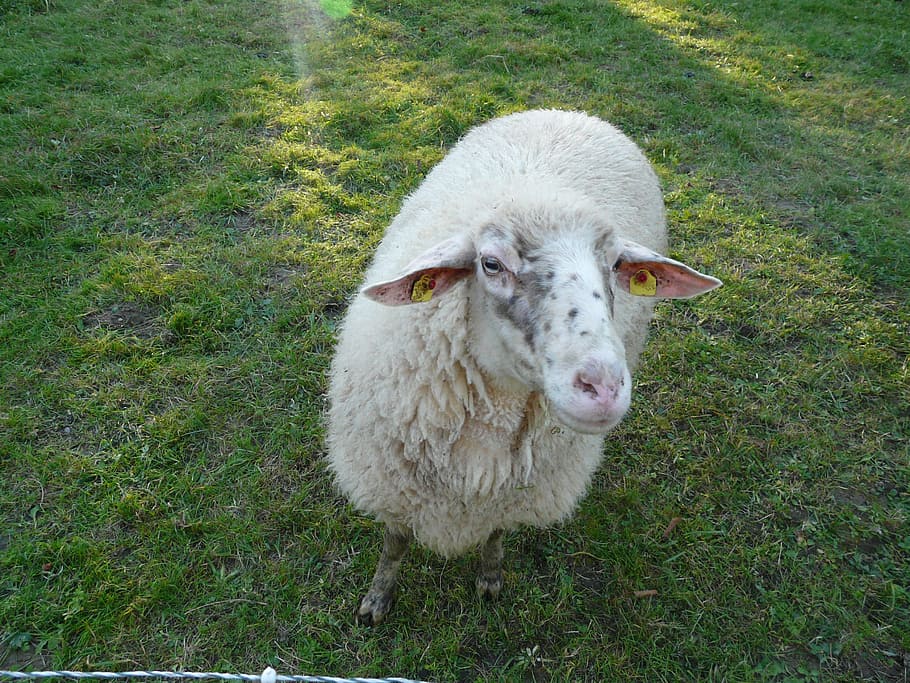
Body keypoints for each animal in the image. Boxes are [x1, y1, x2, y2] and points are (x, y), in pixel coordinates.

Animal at [326, 109, 721, 625]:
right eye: (491, 264)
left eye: (616, 264)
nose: (602, 387)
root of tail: (567, 111)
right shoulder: (391, 485)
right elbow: (394, 544)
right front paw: (376, 601)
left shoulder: (515, 494)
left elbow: (495, 536)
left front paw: (490, 579)